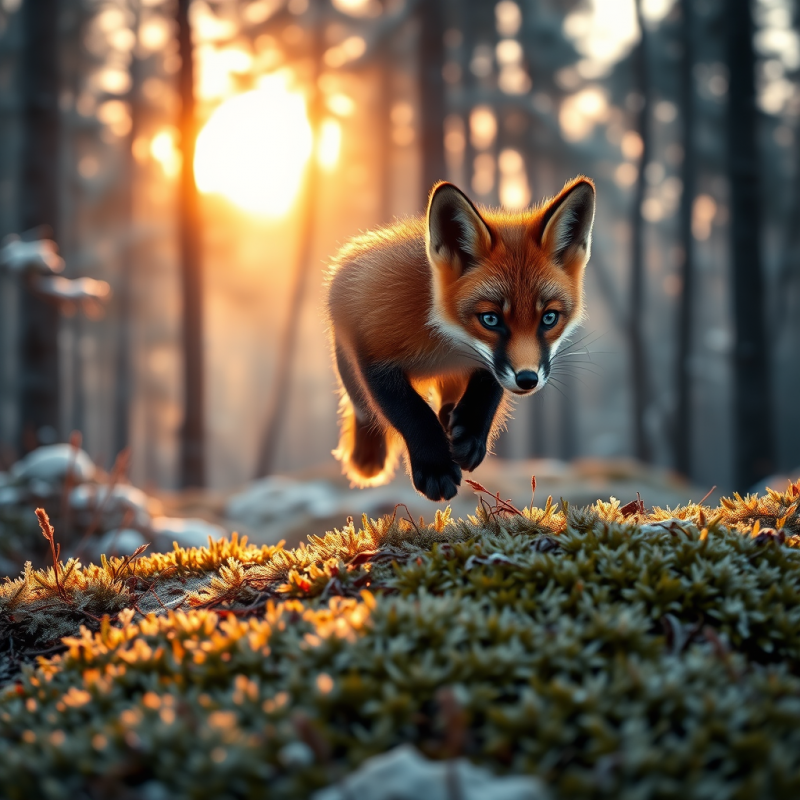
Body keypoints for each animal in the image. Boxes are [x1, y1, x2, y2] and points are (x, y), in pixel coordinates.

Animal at [325, 176, 596, 502]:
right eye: (490, 319)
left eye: (549, 318)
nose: (528, 379)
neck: (447, 341)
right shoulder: (375, 353)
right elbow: (411, 412)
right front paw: (435, 466)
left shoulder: (486, 366)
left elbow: (486, 389)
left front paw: (470, 435)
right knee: (363, 408)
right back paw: (371, 453)